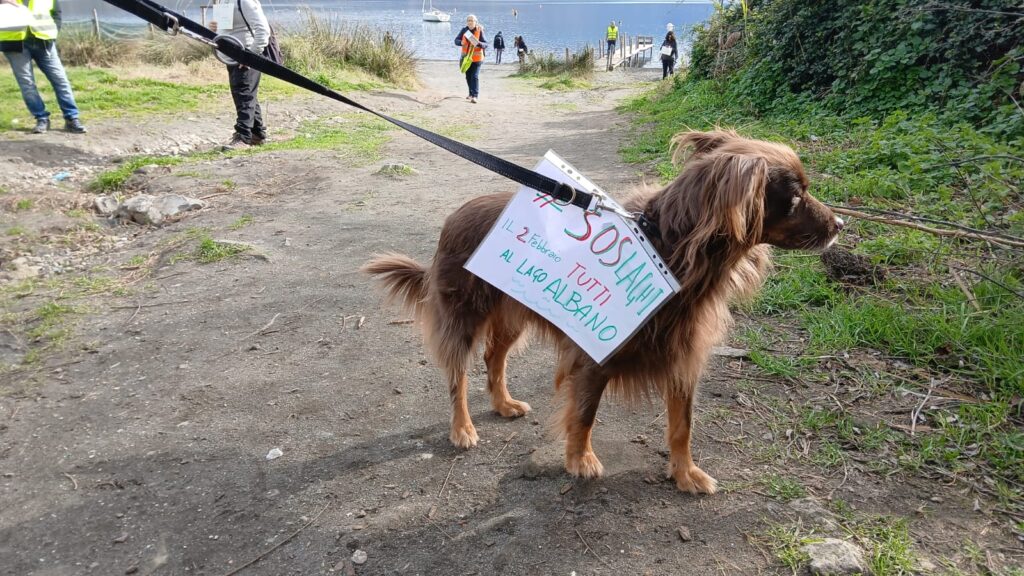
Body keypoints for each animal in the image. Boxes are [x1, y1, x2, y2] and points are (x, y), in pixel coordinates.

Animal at [364, 130, 843, 494]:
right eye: (795, 198)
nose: (841, 225)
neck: (671, 249)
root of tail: (451, 219)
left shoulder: (683, 359)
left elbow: (683, 425)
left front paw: (685, 474)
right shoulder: (595, 354)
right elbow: (585, 413)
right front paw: (580, 460)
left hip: (513, 314)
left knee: (493, 357)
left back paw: (502, 403)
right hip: (463, 317)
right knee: (457, 376)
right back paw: (462, 428)